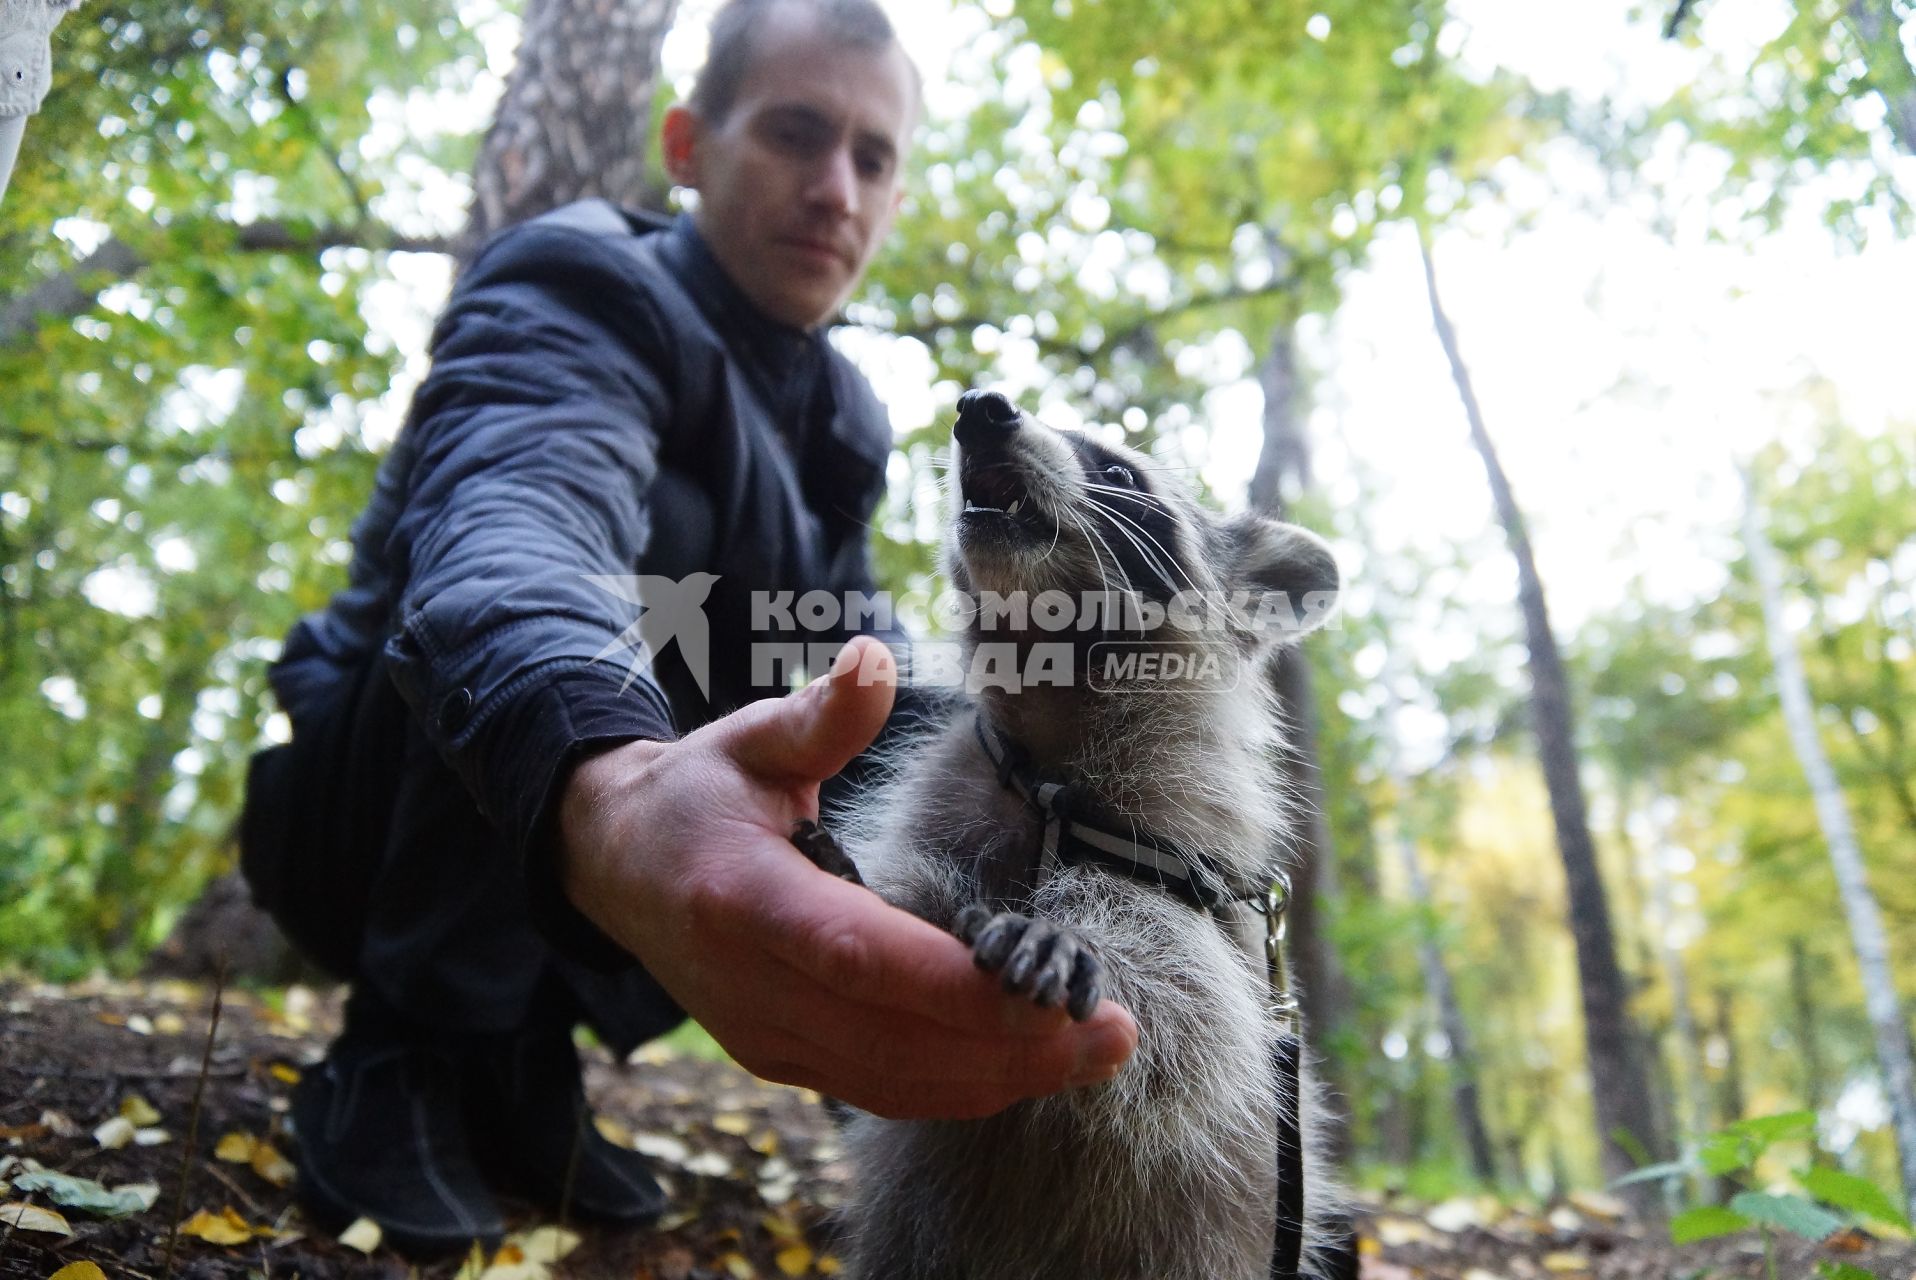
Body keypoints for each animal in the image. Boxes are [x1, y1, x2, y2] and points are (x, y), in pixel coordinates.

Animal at [816, 387, 1341, 1280]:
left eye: (1120, 472)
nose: (980, 407)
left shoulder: (1184, 869)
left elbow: (1190, 1010)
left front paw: (1070, 941)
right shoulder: (965, 783)